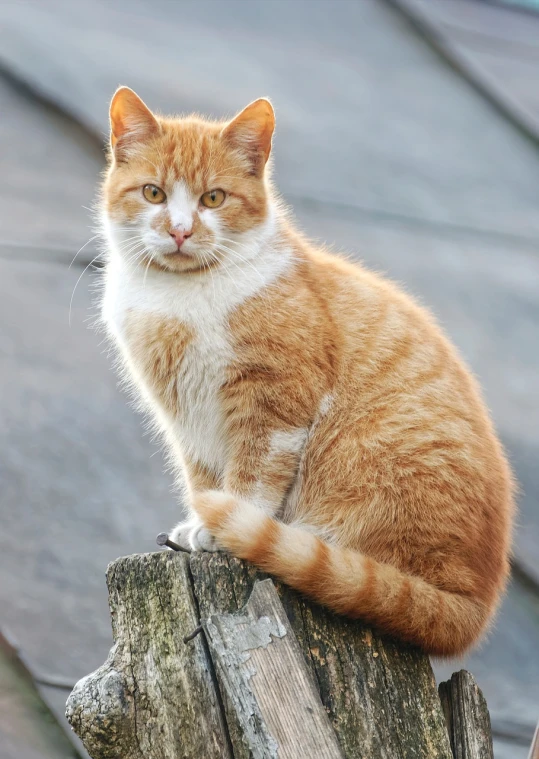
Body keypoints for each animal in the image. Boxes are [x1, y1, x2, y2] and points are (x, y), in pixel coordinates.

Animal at [101, 86, 516, 656]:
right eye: (153, 193)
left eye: (214, 199)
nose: (180, 231)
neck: (180, 299)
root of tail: (471, 608)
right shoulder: (185, 414)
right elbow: (203, 475)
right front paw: (198, 522)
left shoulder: (274, 398)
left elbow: (253, 473)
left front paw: (224, 525)